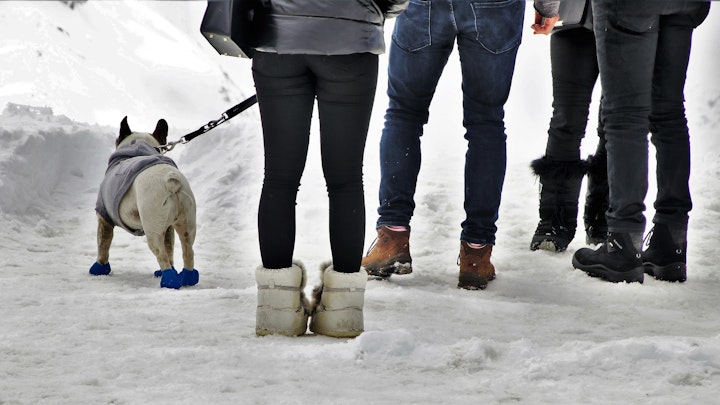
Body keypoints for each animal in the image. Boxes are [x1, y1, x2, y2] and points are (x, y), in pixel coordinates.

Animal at [91, 116, 201, 288]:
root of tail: (171, 181)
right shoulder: (168, 228)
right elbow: (170, 248)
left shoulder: (104, 217)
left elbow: (103, 244)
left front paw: (99, 268)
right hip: (186, 222)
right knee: (187, 250)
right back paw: (187, 278)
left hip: (153, 226)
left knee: (161, 254)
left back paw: (169, 280)